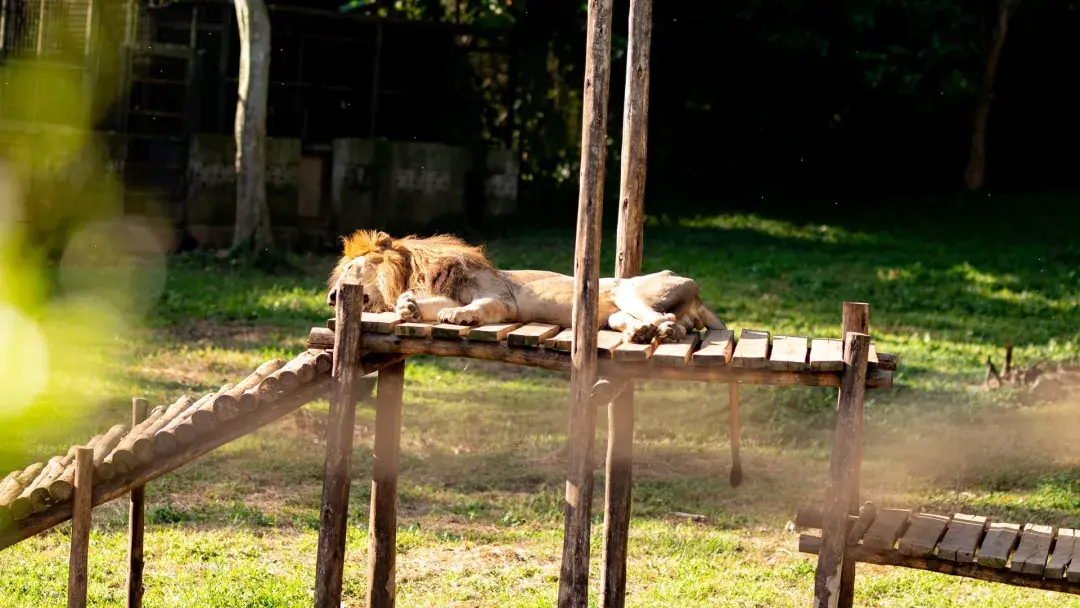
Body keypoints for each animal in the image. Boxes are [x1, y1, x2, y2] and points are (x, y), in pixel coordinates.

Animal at [325, 230, 726, 344]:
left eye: (350, 270)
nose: (331, 297)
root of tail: (698, 295)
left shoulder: (501, 299)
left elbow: (476, 307)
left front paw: (459, 316)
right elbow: (431, 305)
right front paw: (408, 307)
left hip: (630, 291)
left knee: (662, 319)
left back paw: (663, 330)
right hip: (612, 315)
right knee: (645, 323)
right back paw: (641, 333)